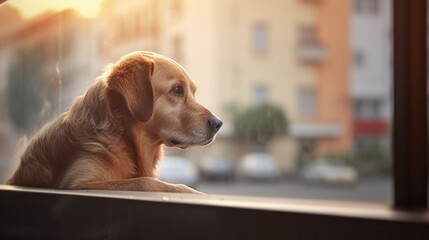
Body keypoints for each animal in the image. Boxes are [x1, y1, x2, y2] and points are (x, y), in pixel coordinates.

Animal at [7, 51, 221, 194]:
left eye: (193, 91)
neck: (123, 135)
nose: (218, 123)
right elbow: (145, 181)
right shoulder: (78, 182)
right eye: (177, 90)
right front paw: (193, 192)